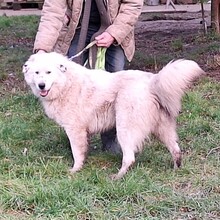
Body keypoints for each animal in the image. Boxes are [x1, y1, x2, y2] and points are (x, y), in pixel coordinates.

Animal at [22, 52, 205, 180]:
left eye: (48, 72)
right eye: (37, 73)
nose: (41, 85)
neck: (66, 83)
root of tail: (152, 82)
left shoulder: (75, 129)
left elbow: (77, 152)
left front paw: (75, 170)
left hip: (125, 127)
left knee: (129, 157)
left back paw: (118, 176)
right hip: (162, 128)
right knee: (175, 149)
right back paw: (176, 168)